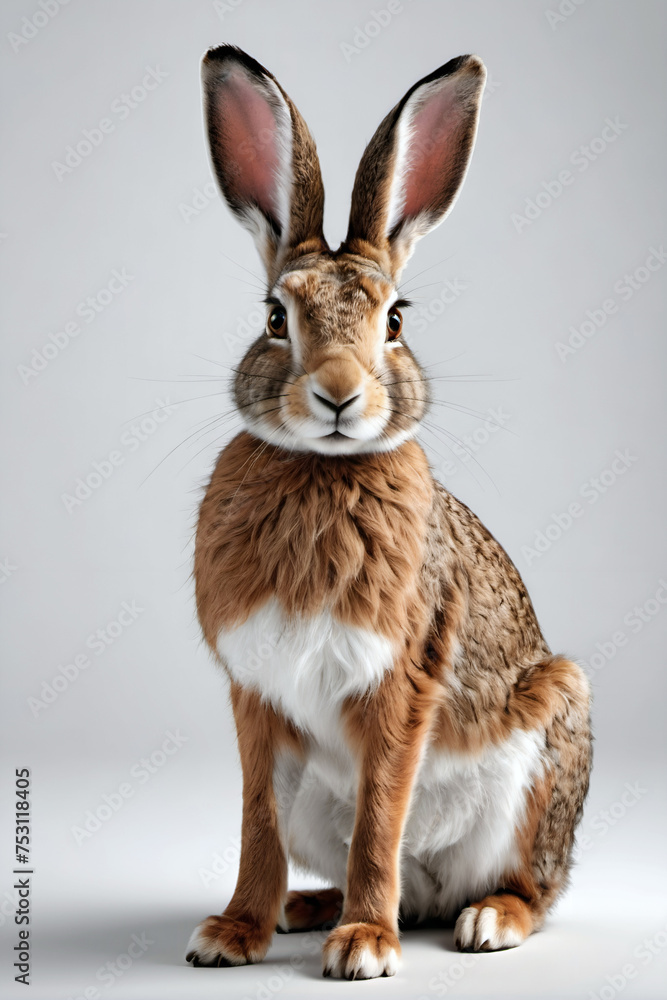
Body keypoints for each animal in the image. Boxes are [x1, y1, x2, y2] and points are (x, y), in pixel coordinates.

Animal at [185, 44, 592, 980]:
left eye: (395, 320)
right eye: (275, 318)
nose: (338, 394)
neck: (323, 470)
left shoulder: (401, 682)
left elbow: (380, 816)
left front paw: (366, 948)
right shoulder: (256, 700)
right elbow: (255, 822)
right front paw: (232, 933)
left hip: (549, 740)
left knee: (525, 886)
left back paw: (480, 920)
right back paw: (302, 909)